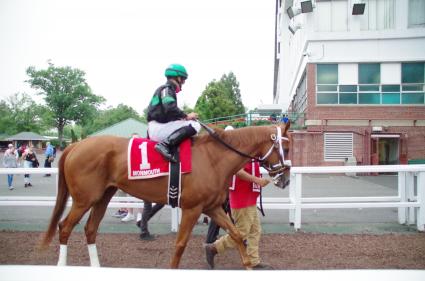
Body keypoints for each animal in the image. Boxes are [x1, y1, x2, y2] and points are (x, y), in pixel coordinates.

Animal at [39, 121, 290, 268]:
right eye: (286, 148)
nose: (285, 179)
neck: (213, 158)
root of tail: (75, 145)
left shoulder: (212, 207)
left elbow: (237, 234)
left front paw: (248, 264)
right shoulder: (192, 209)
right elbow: (180, 244)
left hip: (103, 197)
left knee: (90, 230)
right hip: (84, 199)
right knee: (64, 227)